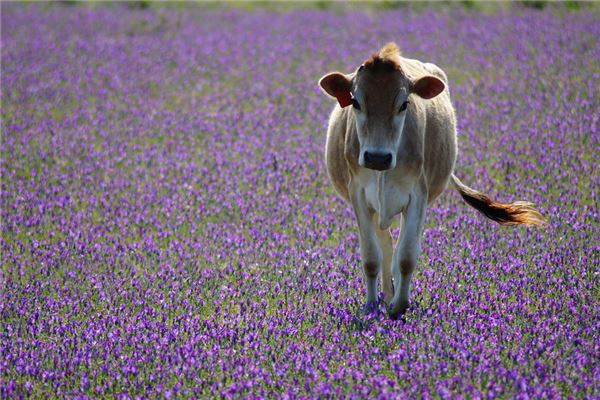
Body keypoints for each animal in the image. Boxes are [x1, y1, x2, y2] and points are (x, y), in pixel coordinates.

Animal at [318, 43, 544, 318]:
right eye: (355, 102)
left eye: (404, 104)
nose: (377, 157)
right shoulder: (358, 194)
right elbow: (371, 256)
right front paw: (371, 306)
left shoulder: (418, 195)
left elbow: (406, 256)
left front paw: (399, 307)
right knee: (385, 247)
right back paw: (386, 295)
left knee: (396, 249)